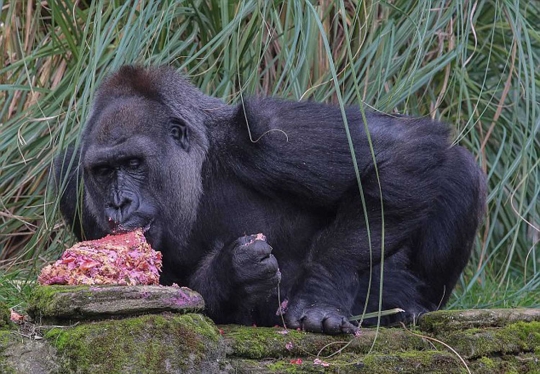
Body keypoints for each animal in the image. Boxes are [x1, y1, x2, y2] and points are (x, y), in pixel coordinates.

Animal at [52, 65, 488, 334]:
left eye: (134, 163)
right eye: (104, 172)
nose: (119, 204)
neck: (200, 166)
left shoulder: (266, 132)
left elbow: (403, 148)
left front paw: (320, 291)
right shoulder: (71, 179)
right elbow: (171, 293)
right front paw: (233, 273)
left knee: (457, 167)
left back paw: (411, 306)